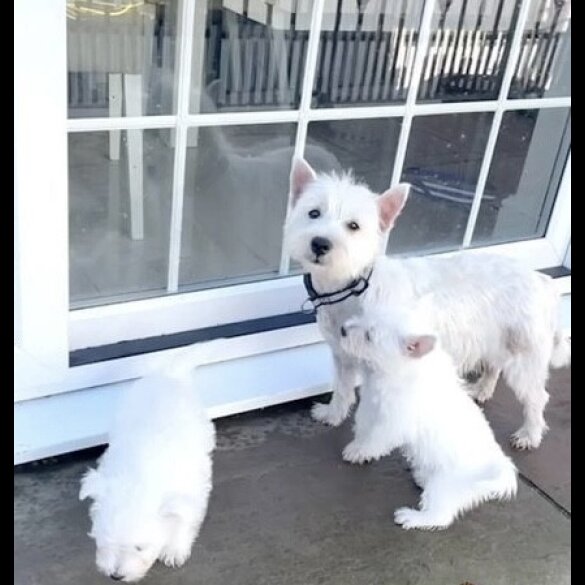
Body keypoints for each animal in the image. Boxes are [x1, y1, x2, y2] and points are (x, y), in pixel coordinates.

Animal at [80, 340, 219, 580]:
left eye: (139, 547)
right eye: (105, 540)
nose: (116, 576)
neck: (141, 475)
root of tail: (169, 375)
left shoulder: (189, 492)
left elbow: (184, 521)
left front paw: (174, 550)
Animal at [282, 157, 572, 450]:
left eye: (354, 226)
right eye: (314, 213)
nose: (320, 243)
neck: (353, 286)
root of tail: (542, 281)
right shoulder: (342, 355)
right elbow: (341, 388)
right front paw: (332, 414)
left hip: (525, 355)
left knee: (536, 396)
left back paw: (529, 434)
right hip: (496, 340)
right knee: (495, 366)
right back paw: (482, 389)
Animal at [338, 308, 516, 532]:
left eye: (369, 336)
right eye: (362, 316)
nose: (342, 329)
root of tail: (500, 466)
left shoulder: (394, 423)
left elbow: (376, 438)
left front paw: (360, 451)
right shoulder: (370, 404)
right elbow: (362, 425)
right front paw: (357, 446)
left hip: (444, 485)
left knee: (440, 516)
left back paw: (413, 517)